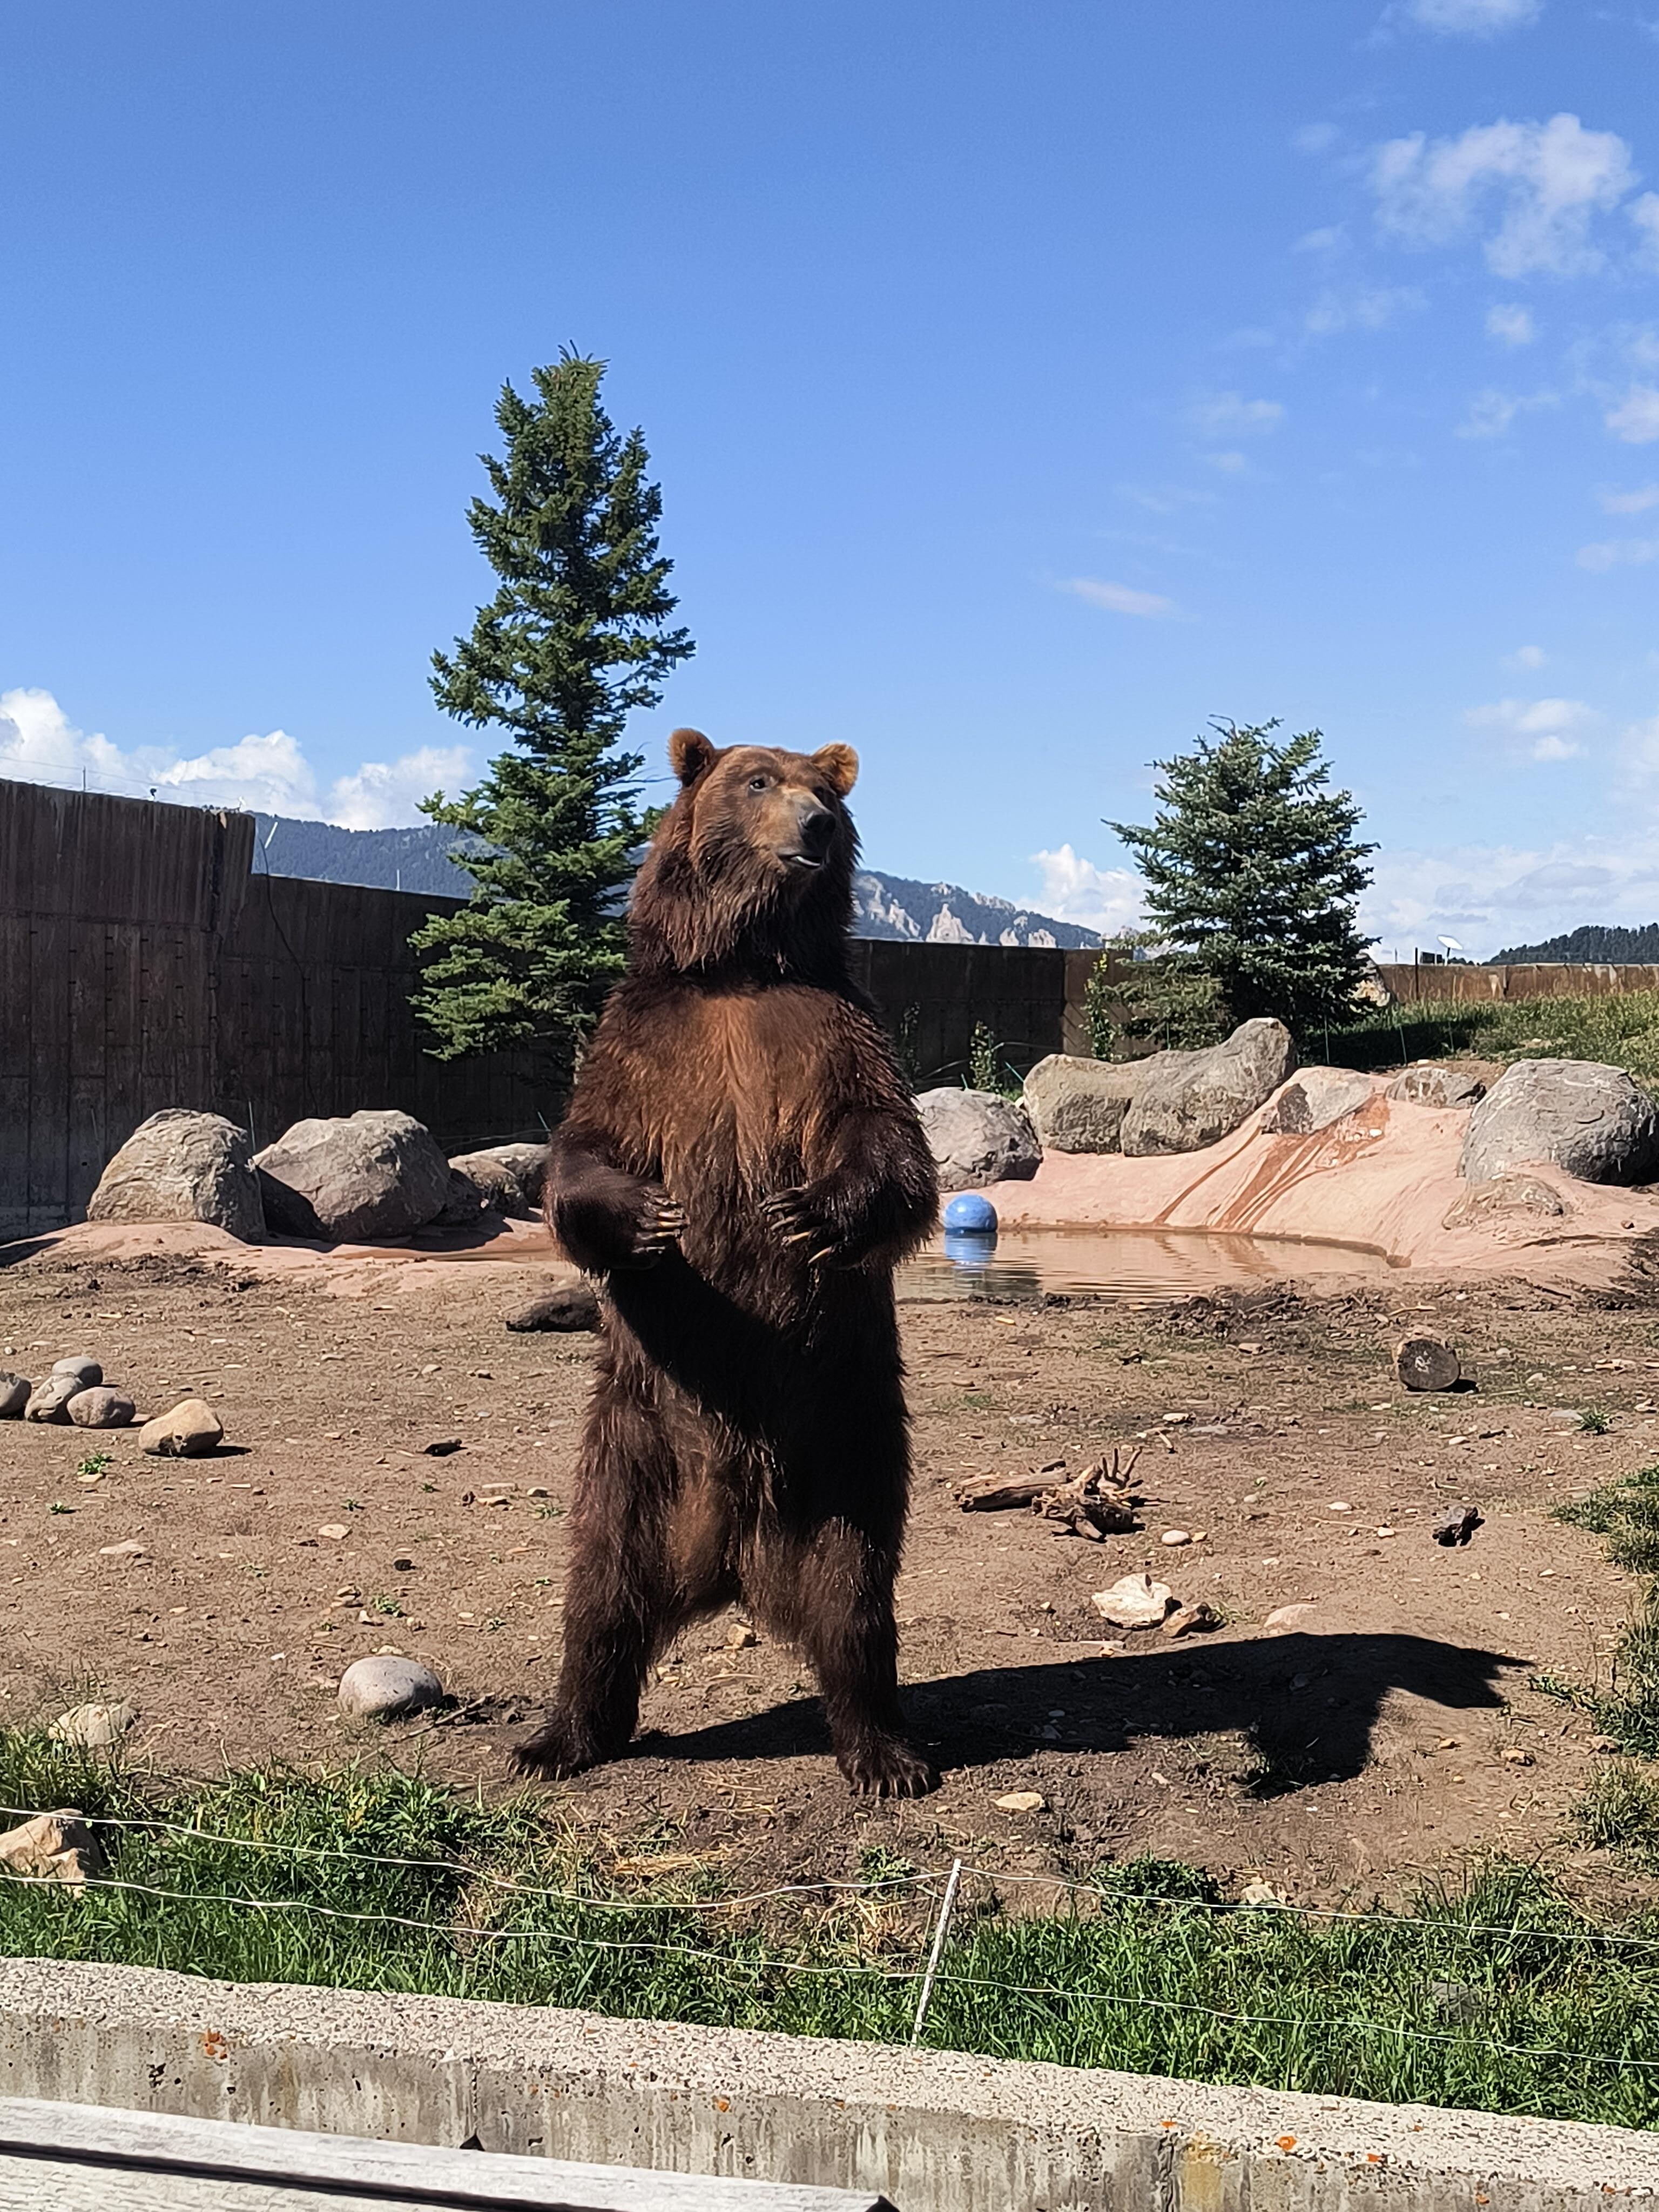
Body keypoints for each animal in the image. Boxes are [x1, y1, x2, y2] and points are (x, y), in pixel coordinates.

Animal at [512, 727, 940, 1796]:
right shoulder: (643, 1044)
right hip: (635, 1446)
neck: (742, 968)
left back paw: (884, 1751)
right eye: (755, 781)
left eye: (824, 787)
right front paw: (651, 1216)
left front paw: (804, 1214)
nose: (815, 826)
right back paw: (561, 1735)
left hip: (847, 1442)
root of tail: (731, 1560)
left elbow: (891, 1150)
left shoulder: (837, 1036)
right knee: (600, 1593)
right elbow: (581, 1155)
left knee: (856, 1603)